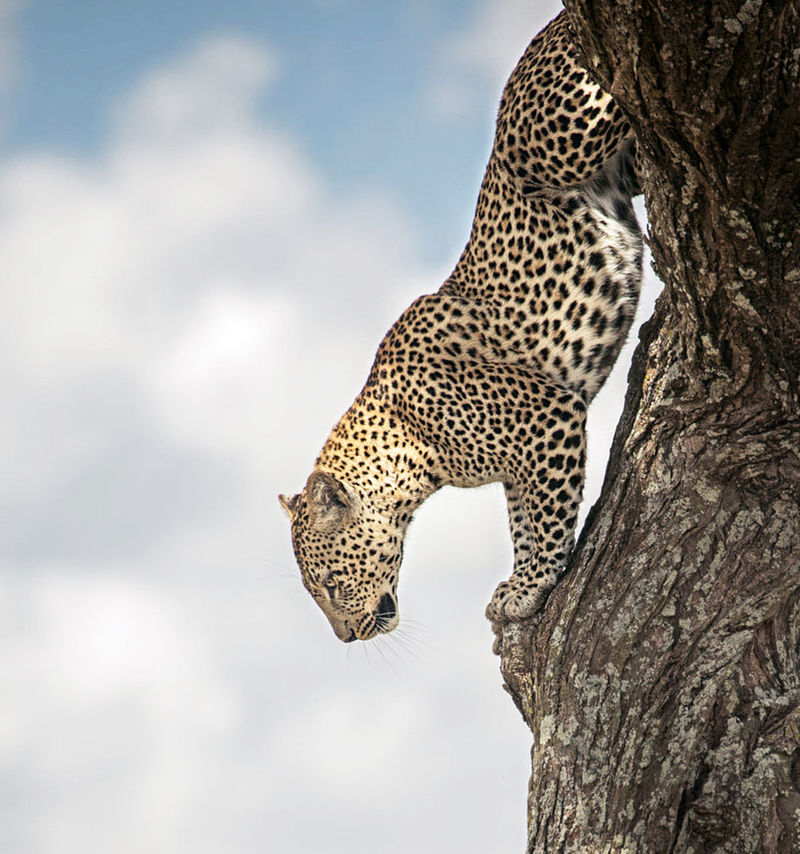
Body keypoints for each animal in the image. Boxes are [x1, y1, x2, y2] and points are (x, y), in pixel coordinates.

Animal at [278, 11, 640, 640]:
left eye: (329, 584)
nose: (345, 637)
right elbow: (524, 520)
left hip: (547, 143)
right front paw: (517, 586)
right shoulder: (524, 460)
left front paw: (532, 586)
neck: (411, 451)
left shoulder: (546, 416)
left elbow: (547, 518)